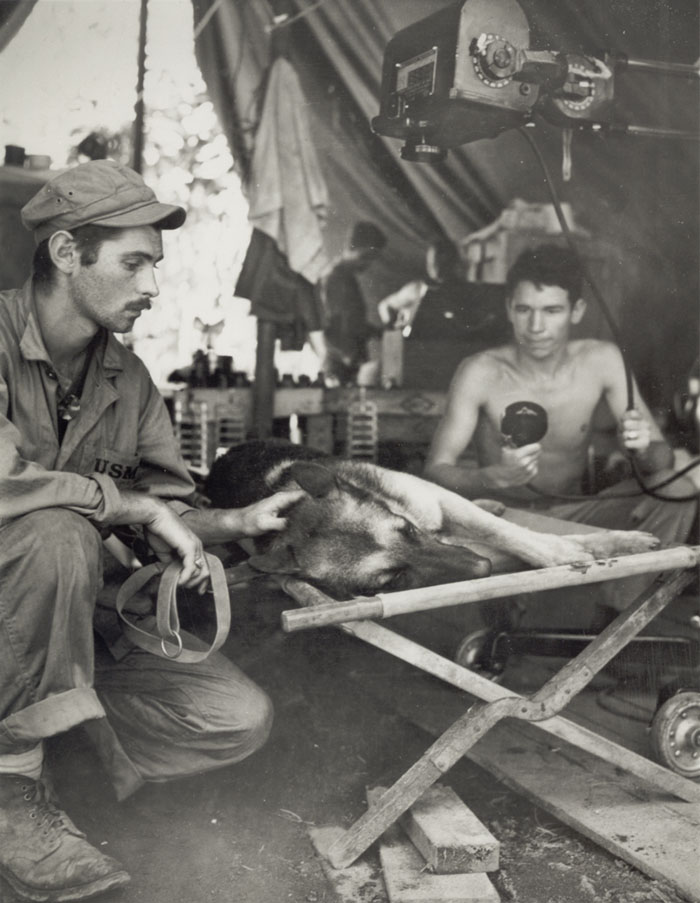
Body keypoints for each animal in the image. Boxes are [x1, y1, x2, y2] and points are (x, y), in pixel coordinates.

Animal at [204, 438, 660, 600]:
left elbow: (514, 534)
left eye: (406, 530)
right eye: (391, 579)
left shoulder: (437, 505)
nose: (483, 569)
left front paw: (577, 549)